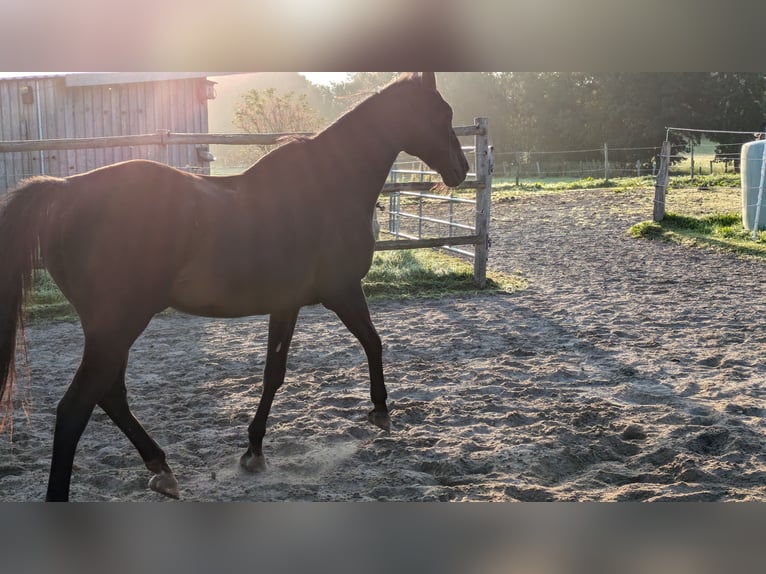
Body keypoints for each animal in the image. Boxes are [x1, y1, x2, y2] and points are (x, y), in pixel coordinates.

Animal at [0, 73, 468, 504]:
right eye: (442, 113)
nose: (461, 170)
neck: (329, 185)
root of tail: (63, 190)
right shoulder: (343, 292)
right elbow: (373, 342)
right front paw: (381, 410)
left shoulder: (287, 304)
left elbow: (274, 372)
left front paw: (254, 450)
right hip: (117, 326)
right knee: (76, 407)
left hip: (109, 329)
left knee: (110, 395)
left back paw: (162, 468)